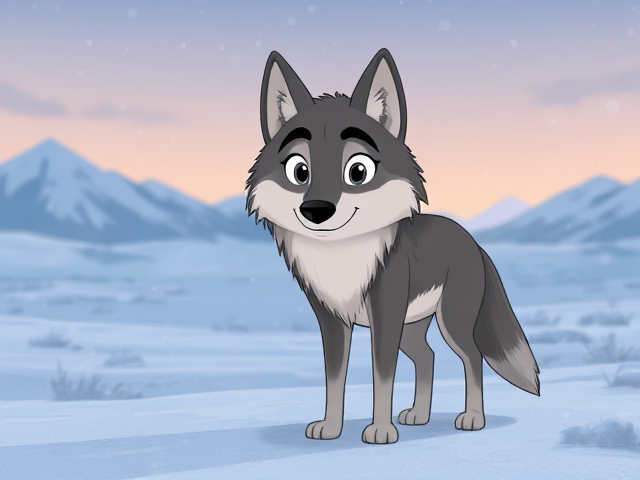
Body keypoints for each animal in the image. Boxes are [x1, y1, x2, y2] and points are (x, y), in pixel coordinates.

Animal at [246, 48, 539, 444]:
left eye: (357, 171)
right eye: (299, 171)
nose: (317, 210)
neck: (342, 257)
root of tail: (472, 241)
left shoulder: (386, 315)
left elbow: (382, 377)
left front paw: (381, 430)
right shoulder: (332, 320)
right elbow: (334, 380)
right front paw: (331, 428)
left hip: (450, 321)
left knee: (472, 358)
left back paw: (472, 418)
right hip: (412, 328)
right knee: (428, 358)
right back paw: (419, 415)